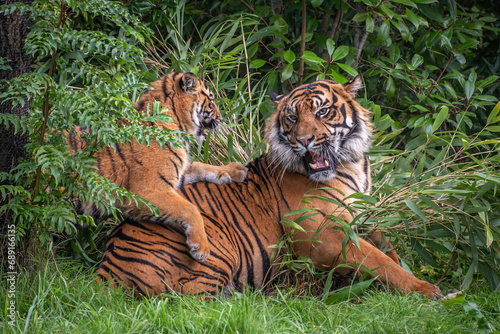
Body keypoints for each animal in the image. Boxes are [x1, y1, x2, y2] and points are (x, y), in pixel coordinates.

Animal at [69, 72, 249, 260]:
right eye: (211, 101)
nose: (221, 119)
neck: (177, 126)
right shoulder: (146, 191)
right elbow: (190, 209)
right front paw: (200, 247)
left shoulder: (176, 171)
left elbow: (201, 166)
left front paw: (234, 170)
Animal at [94, 76, 442, 300]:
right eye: (291, 117)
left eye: (322, 111)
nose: (304, 140)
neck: (349, 164)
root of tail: (105, 271)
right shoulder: (318, 232)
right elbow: (376, 259)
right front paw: (426, 290)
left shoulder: (361, 216)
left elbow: (387, 247)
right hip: (219, 244)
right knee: (187, 299)